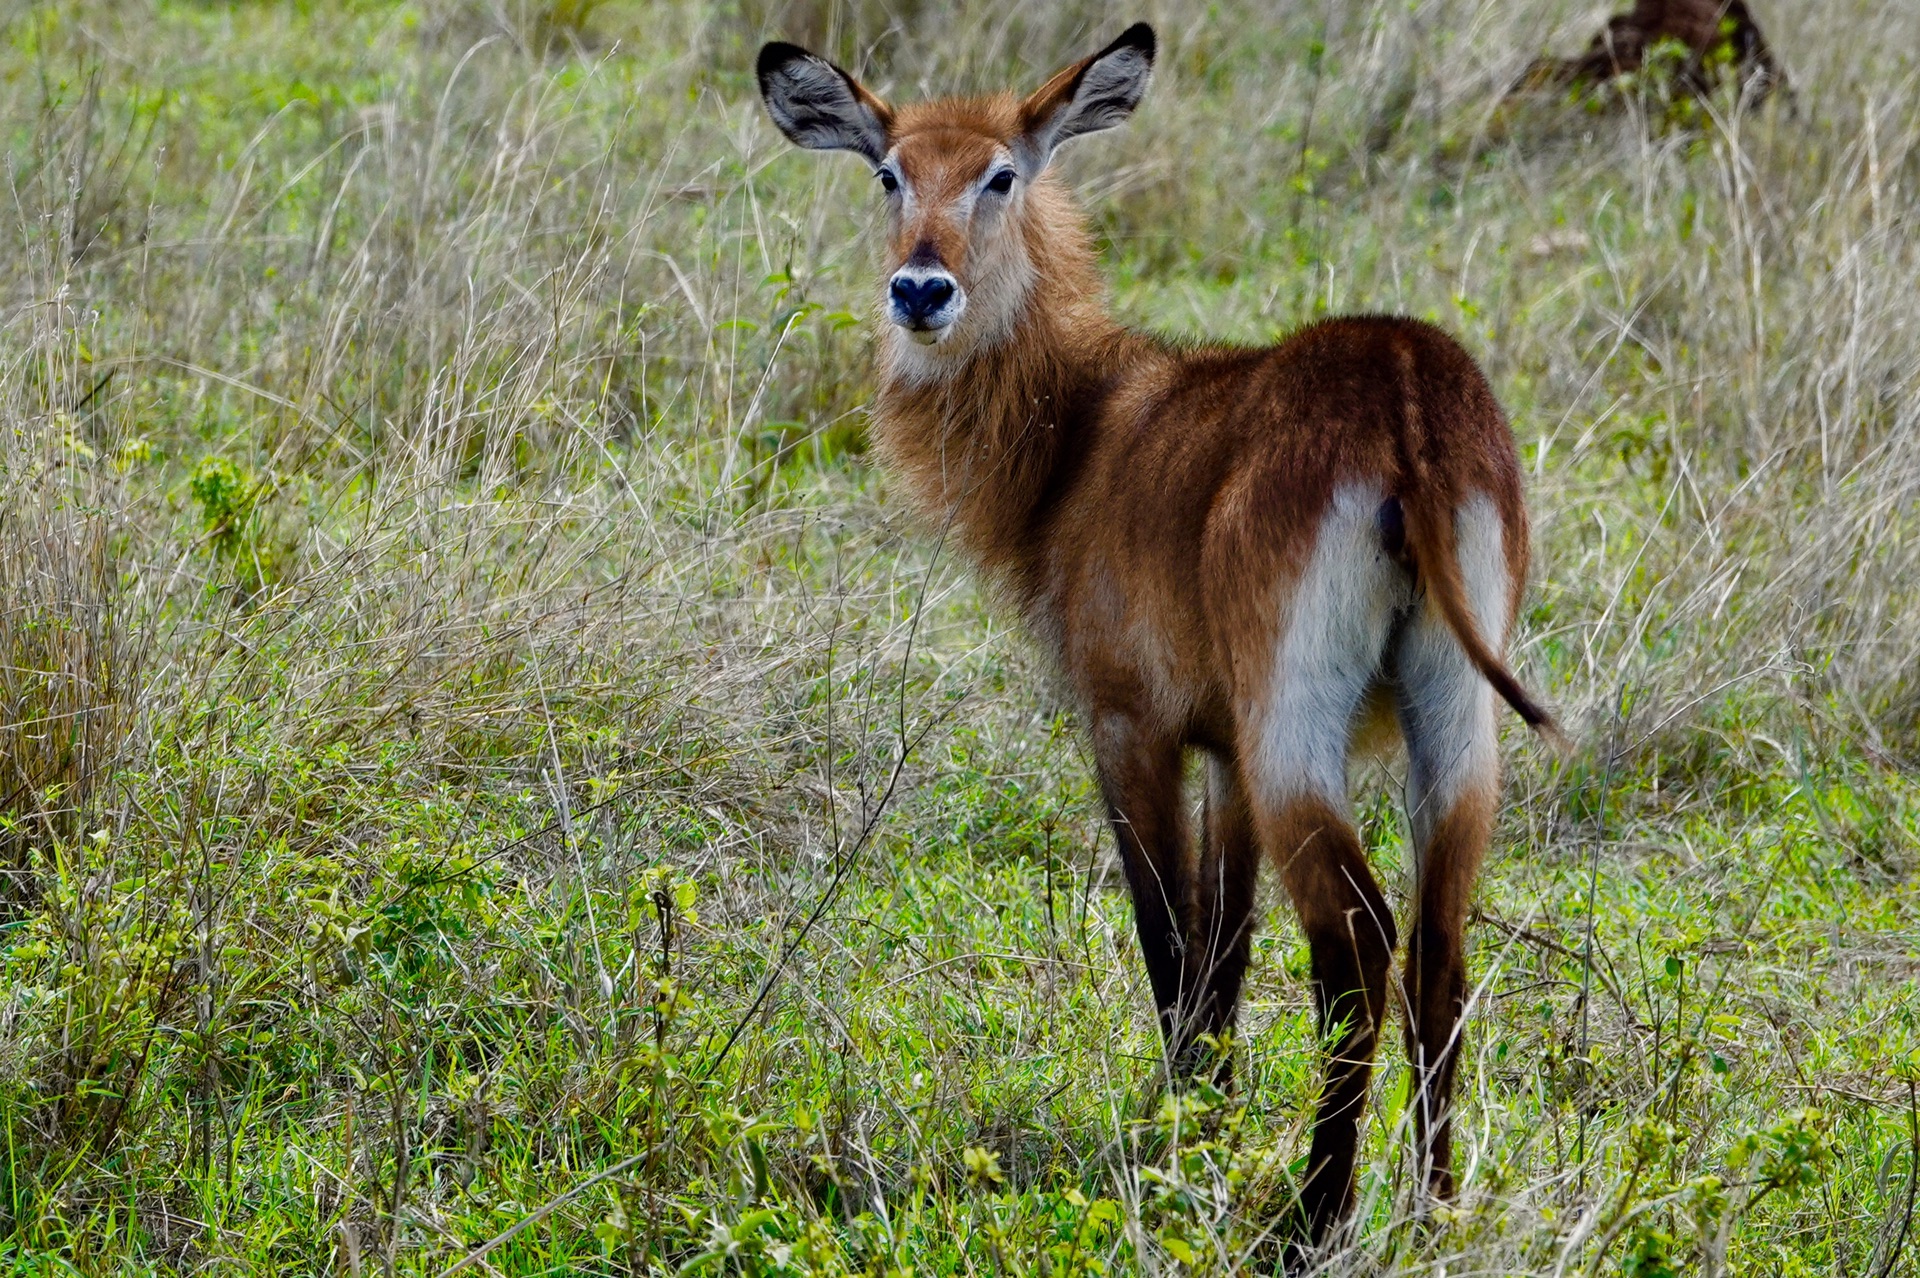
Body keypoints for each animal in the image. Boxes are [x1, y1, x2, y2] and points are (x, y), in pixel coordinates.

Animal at [756, 22, 1551, 1243]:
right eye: (890, 174)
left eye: (1000, 174)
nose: (921, 289)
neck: (1084, 434)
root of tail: (1405, 386)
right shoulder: (1222, 755)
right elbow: (1226, 951)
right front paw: (1210, 1117)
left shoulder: (1131, 726)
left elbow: (1168, 938)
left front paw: (1174, 1138)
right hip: (1455, 725)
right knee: (1442, 947)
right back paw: (1433, 1208)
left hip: (1296, 734)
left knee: (1358, 943)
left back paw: (1314, 1220)